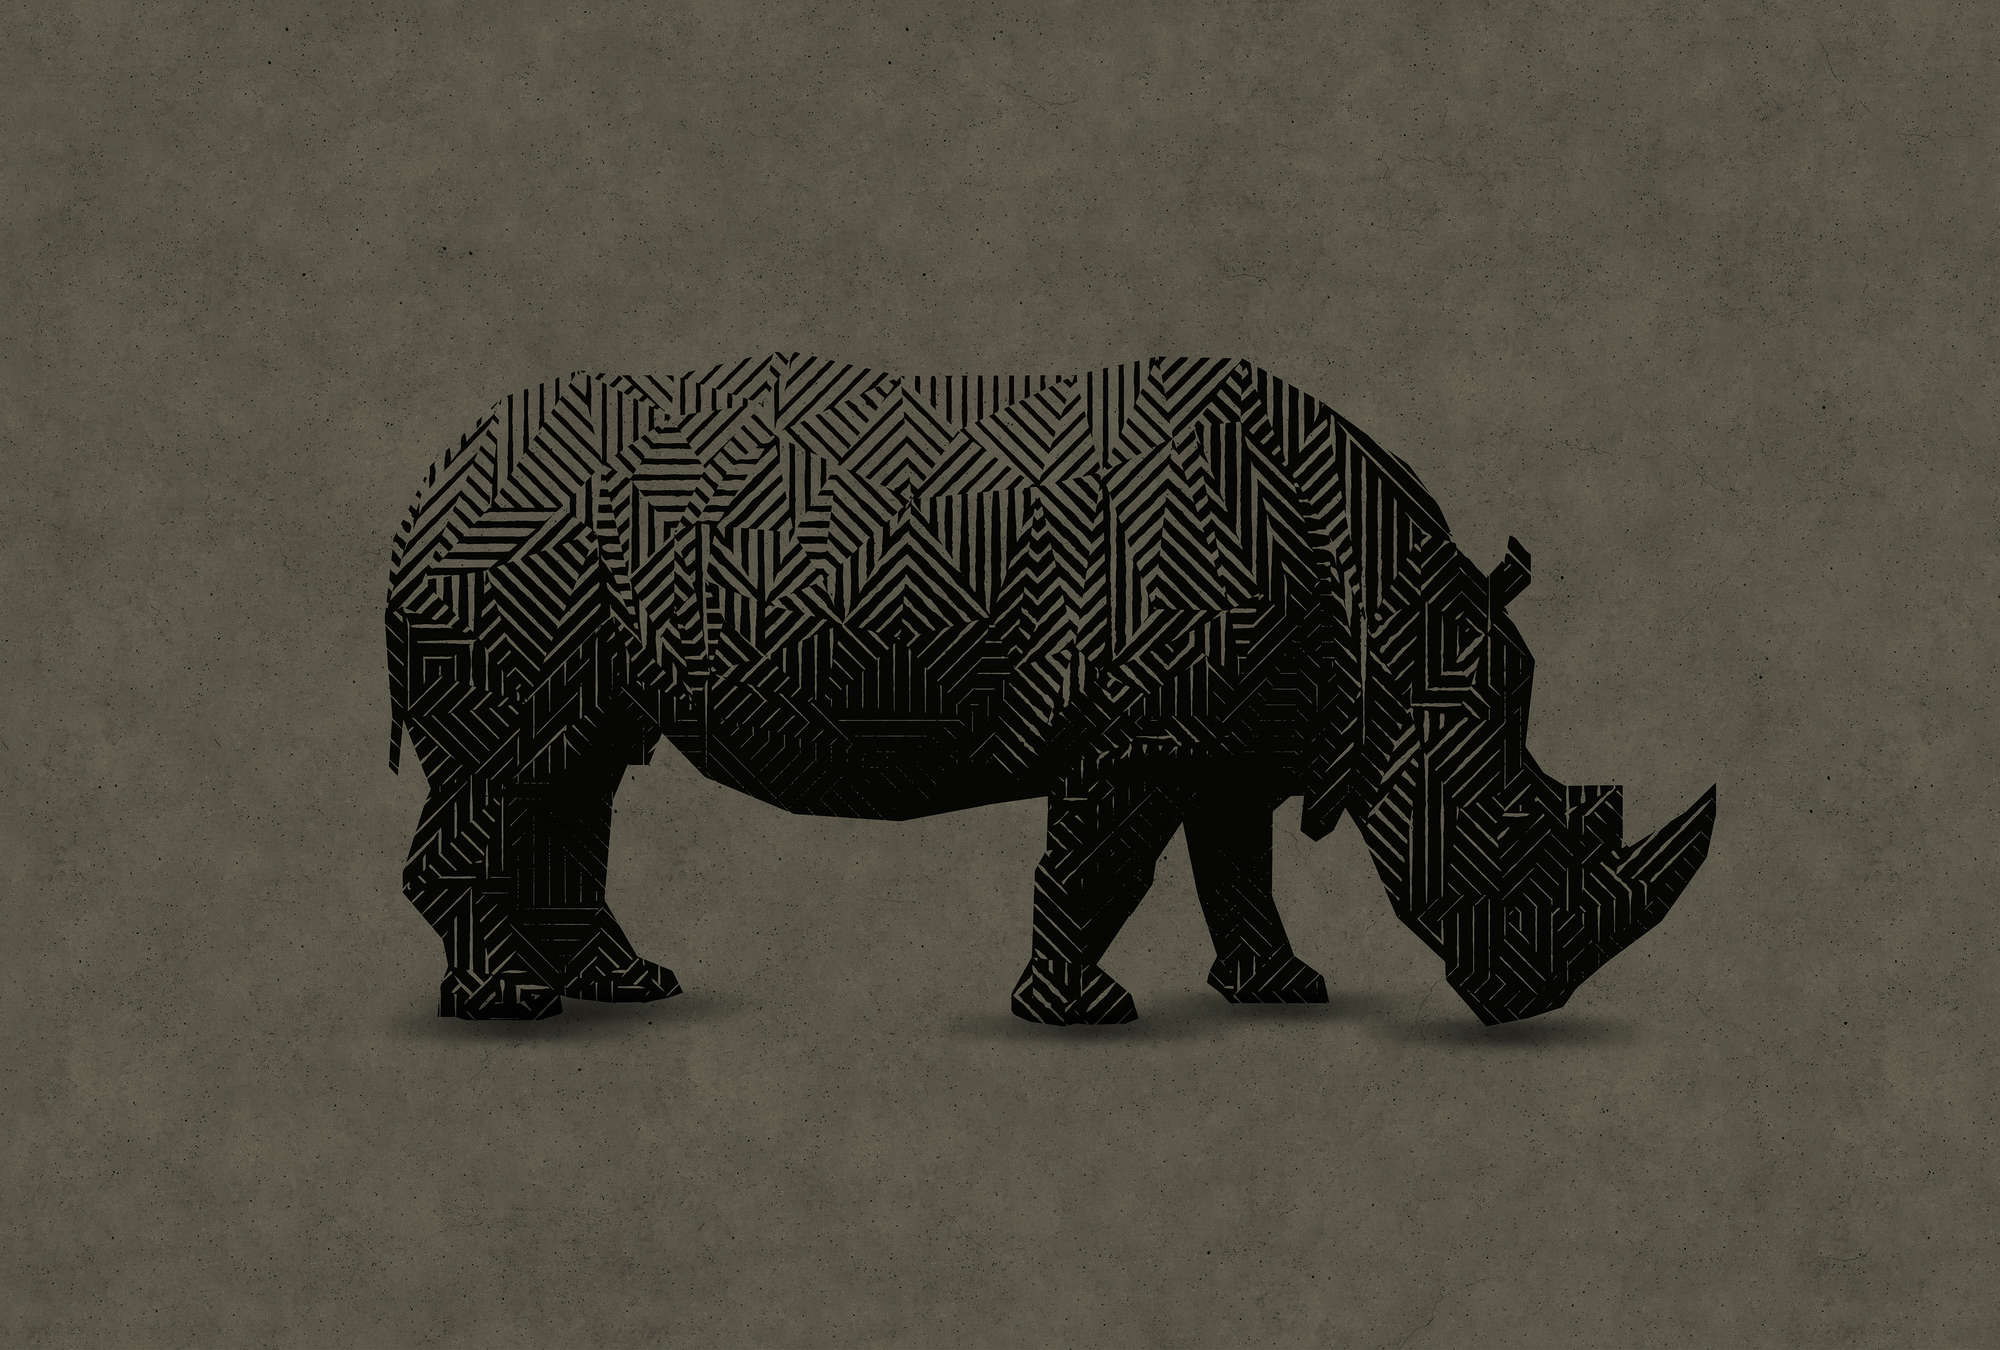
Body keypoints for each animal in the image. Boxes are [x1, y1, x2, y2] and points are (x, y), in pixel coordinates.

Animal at [385, 353, 1716, 1025]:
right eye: (1513, 824)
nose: (1532, 1003)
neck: (1396, 635)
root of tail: (428, 478)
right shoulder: (1143, 734)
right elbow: (1104, 868)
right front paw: (1084, 1013)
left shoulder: (1235, 729)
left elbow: (1237, 862)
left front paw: (1284, 992)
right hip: (511, 556)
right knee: (515, 766)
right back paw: (509, 1006)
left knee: (579, 766)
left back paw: (626, 987)